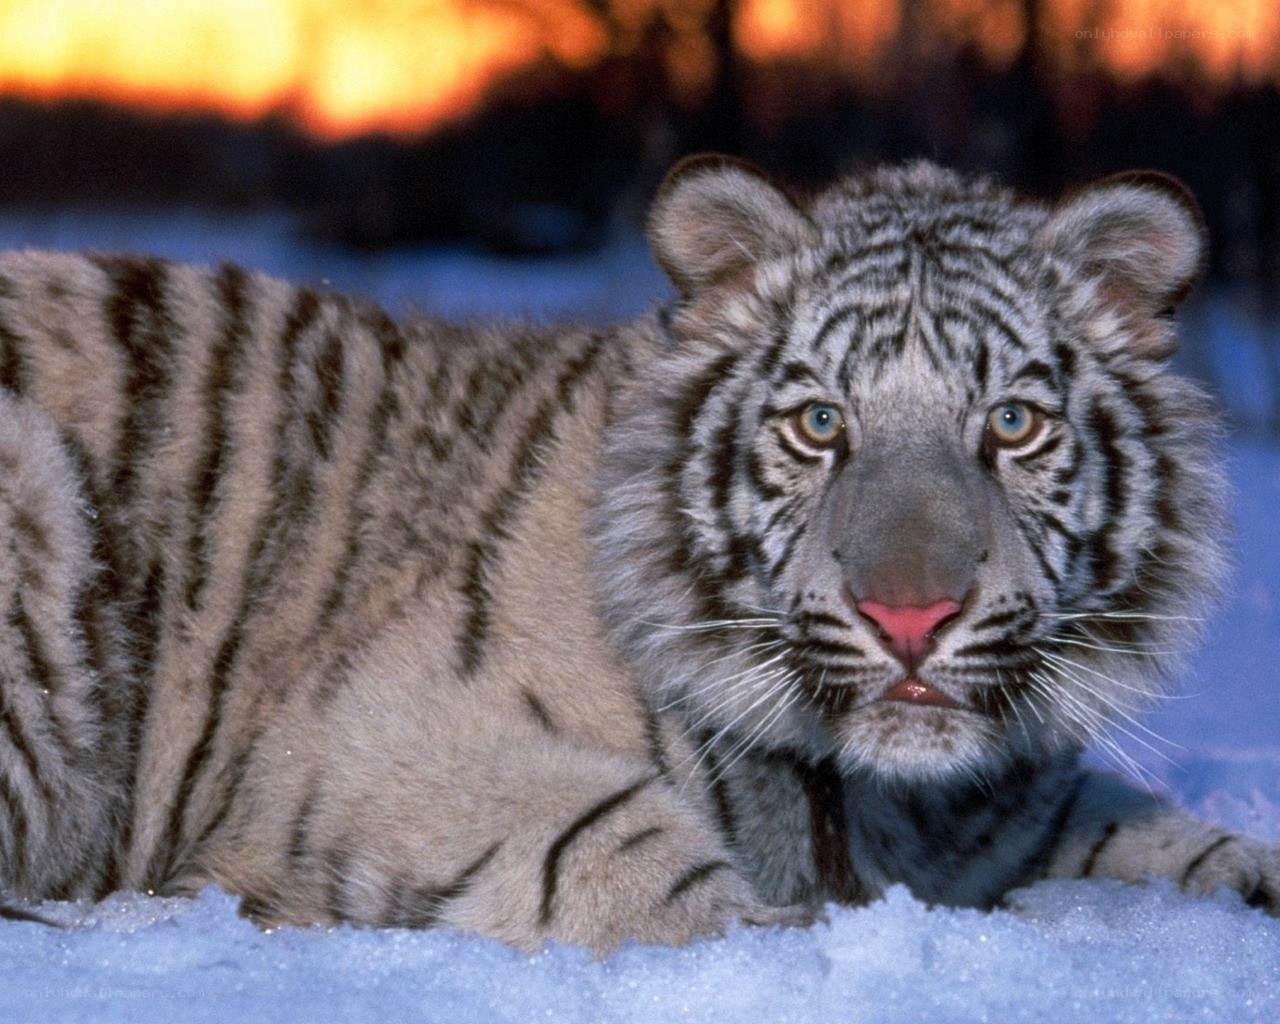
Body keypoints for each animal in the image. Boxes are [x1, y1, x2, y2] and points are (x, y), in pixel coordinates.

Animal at [0, 154, 1274, 954]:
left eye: (1010, 424)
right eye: (819, 424)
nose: (907, 620)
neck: (881, 797)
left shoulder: (1013, 810)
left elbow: (1160, 830)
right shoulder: (372, 741)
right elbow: (622, 841)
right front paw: (785, 936)